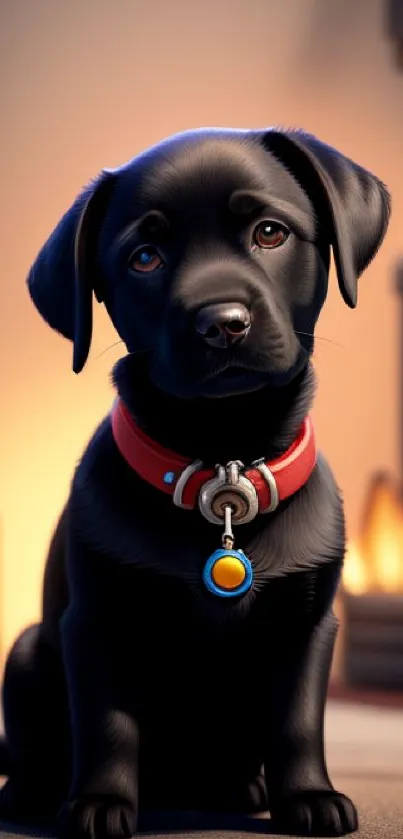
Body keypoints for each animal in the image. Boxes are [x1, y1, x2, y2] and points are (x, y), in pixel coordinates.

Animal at [0, 126, 392, 839]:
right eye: (145, 257)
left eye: (270, 232)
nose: (223, 323)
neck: (222, 469)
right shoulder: (95, 622)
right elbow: (108, 724)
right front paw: (98, 805)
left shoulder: (309, 624)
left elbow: (298, 721)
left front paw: (309, 796)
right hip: (25, 649)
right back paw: (29, 793)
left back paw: (243, 787)